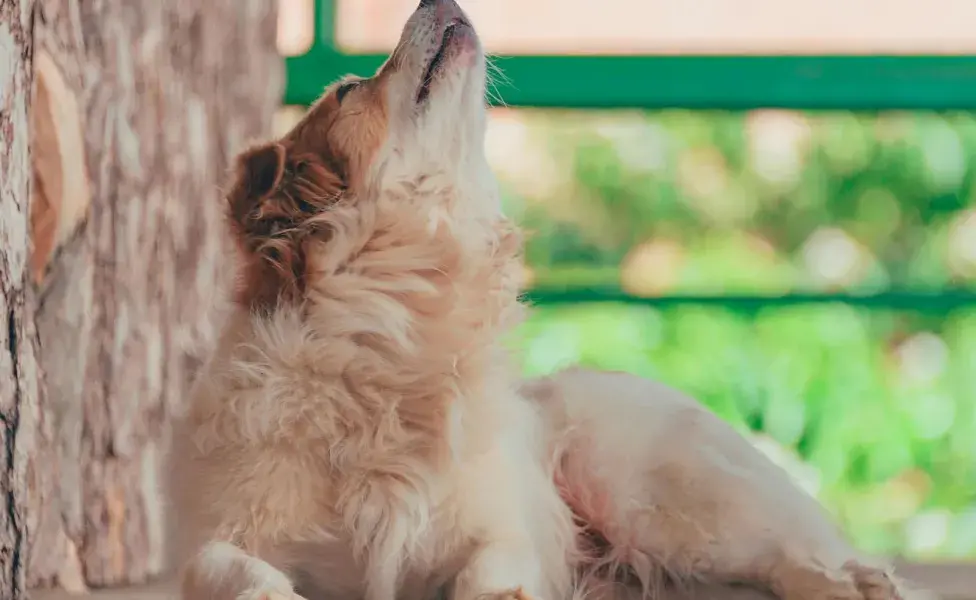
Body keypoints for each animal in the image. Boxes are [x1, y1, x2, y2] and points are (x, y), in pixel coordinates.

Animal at [170, 1, 932, 600]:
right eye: (352, 88)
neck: (391, 333)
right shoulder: (223, 532)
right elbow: (228, 565)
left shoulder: (498, 528)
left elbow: (494, 564)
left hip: (655, 497)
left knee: (784, 558)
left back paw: (852, 584)